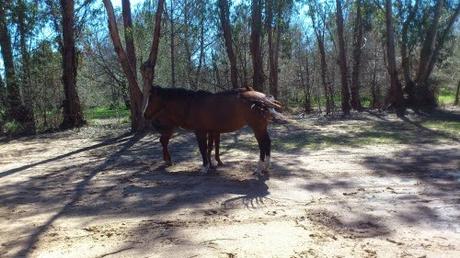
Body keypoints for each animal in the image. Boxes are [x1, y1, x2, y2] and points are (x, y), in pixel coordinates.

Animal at [144, 87, 280, 175]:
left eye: (151, 99)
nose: (145, 115)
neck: (191, 104)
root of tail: (264, 98)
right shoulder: (211, 131)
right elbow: (210, 148)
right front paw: (211, 165)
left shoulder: (200, 132)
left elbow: (203, 149)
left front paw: (205, 167)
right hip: (261, 127)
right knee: (267, 143)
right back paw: (266, 167)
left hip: (257, 127)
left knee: (262, 145)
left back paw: (259, 169)